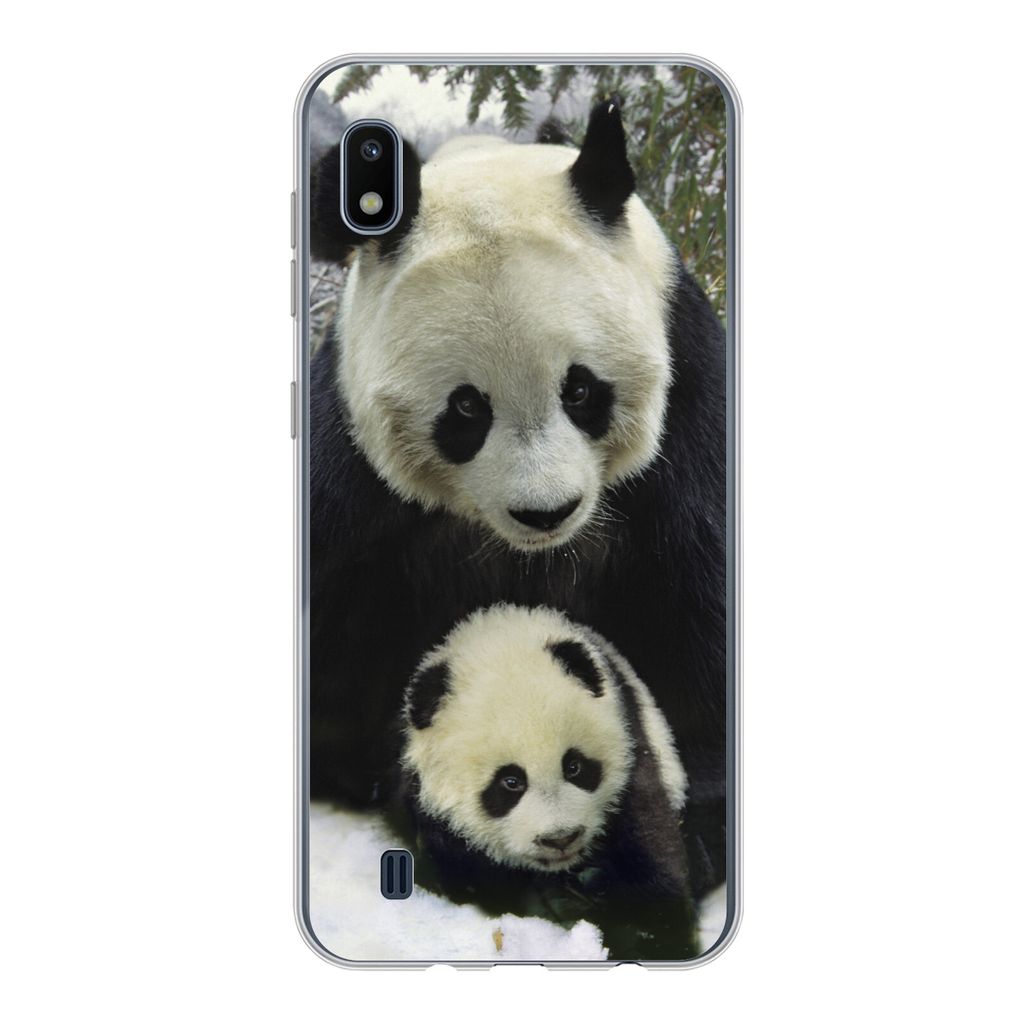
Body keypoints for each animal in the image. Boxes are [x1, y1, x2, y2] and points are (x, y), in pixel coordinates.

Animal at [309, 97, 727, 897]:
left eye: (581, 390)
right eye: (467, 409)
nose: (547, 512)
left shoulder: (688, 419)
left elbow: (694, 600)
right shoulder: (355, 473)